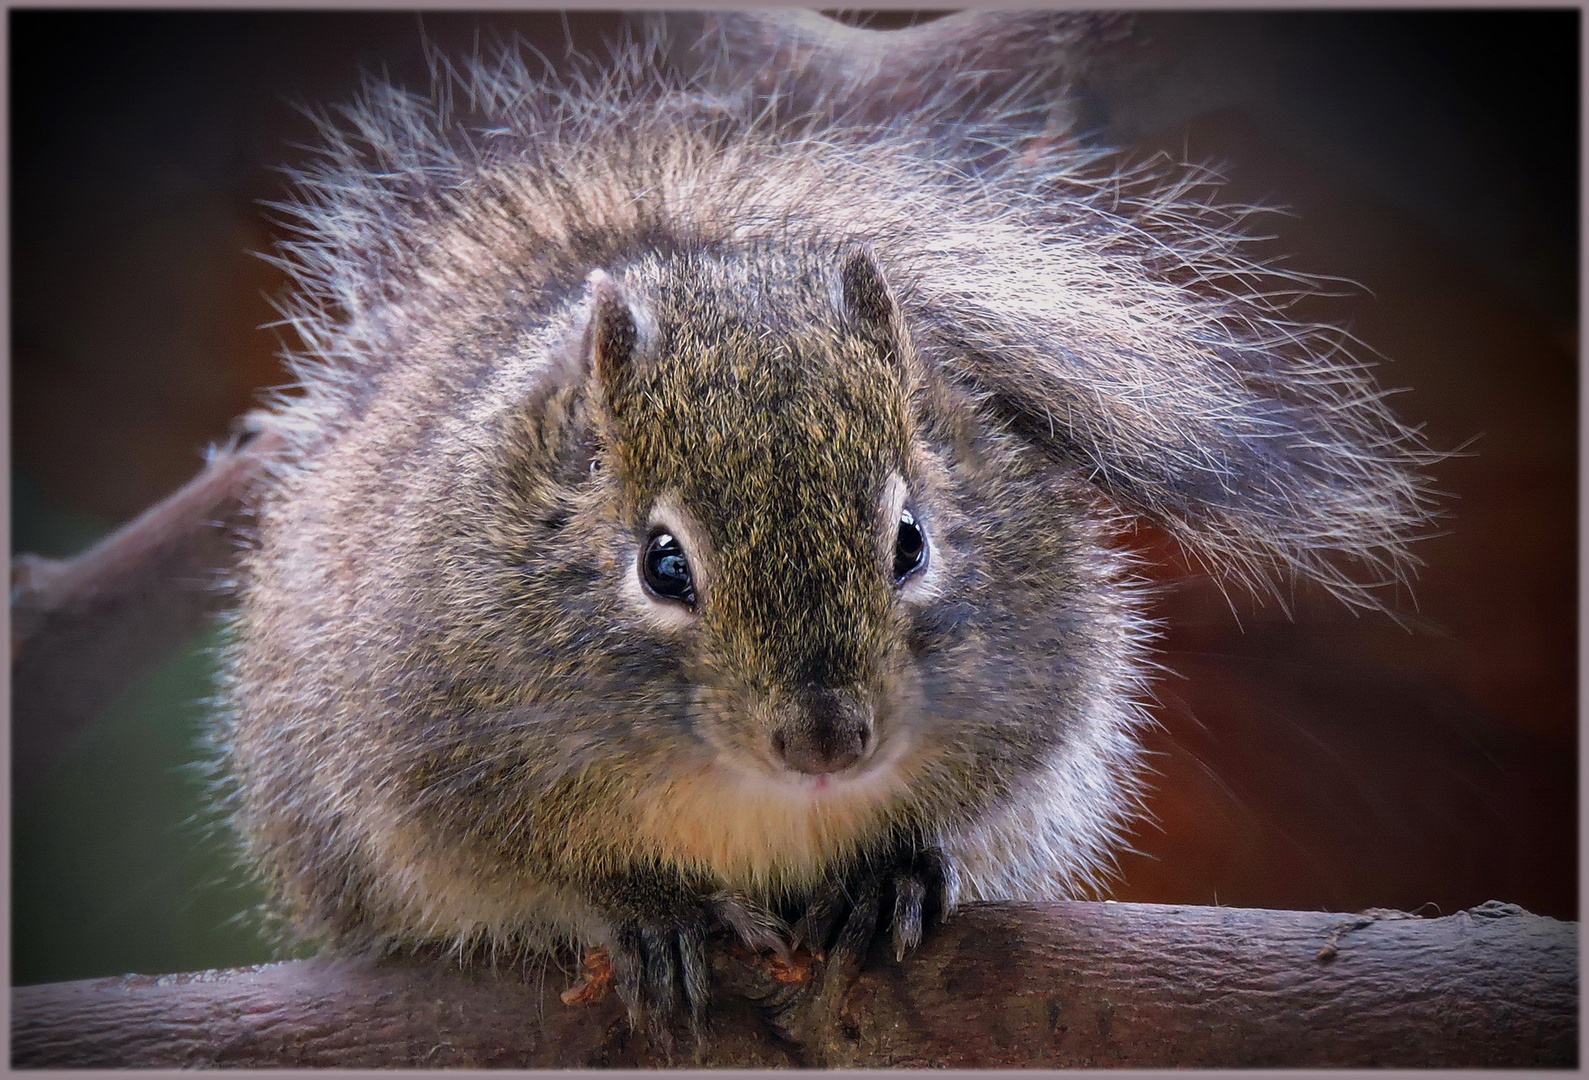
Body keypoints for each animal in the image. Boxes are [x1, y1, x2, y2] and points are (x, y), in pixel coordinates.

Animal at [208, 16, 1430, 1041]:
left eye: (912, 542)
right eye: (661, 565)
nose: (827, 739)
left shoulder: (1037, 707)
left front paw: (891, 872)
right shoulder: (431, 764)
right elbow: (529, 874)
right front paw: (646, 910)